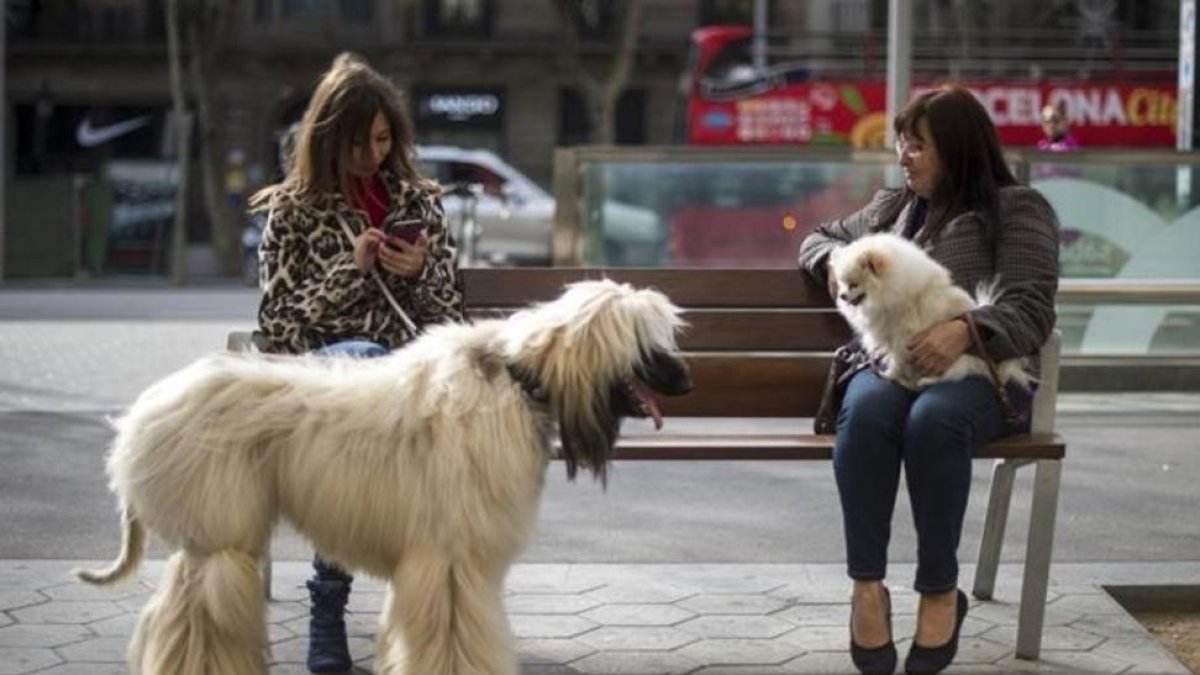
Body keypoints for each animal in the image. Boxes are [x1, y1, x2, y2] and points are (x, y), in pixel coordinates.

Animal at [830, 233, 1027, 389]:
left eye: (854, 285)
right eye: (841, 284)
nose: (842, 296)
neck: (888, 292)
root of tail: (994, 370)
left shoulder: (902, 335)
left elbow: (897, 358)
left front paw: (890, 374)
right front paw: (897, 375)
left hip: (956, 359)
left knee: (948, 376)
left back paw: (924, 381)